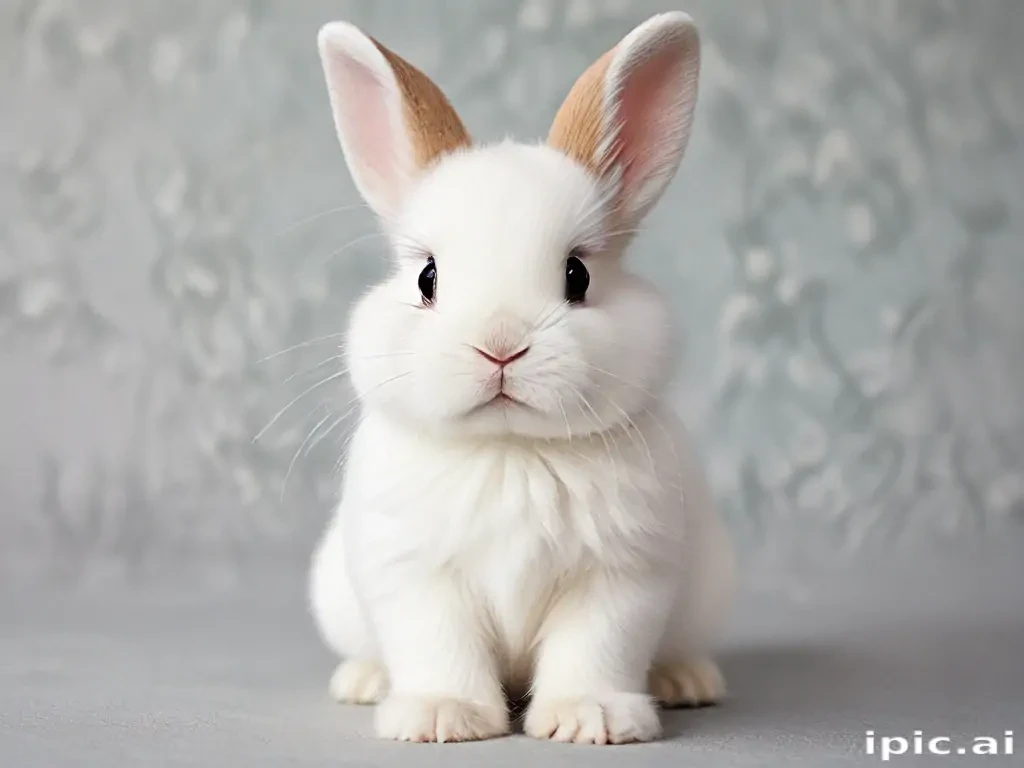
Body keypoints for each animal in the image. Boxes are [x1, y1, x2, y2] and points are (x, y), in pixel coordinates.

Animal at [307, 11, 735, 745]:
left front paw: (590, 720)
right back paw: (363, 682)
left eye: (577, 275)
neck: (512, 450)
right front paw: (440, 717)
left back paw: (688, 683)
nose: (500, 347)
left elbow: (595, 649)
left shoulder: (621, 579)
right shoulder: (415, 576)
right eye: (427, 278)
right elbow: (439, 648)